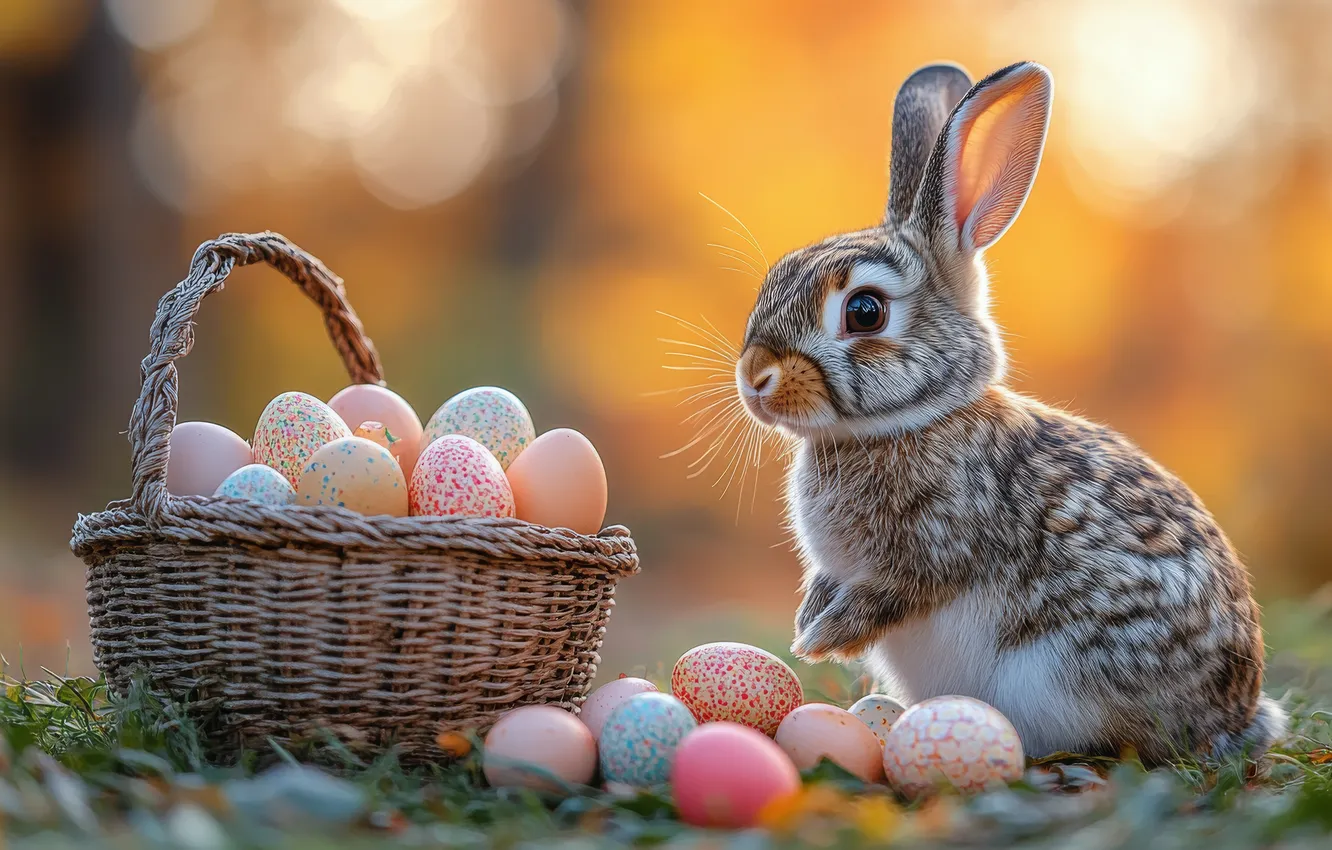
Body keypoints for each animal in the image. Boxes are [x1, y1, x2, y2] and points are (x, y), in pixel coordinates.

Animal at [733, 60, 1285, 764]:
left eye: (864, 311)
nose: (754, 377)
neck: (911, 421)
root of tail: (1236, 715)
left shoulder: (936, 549)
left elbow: (897, 591)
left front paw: (821, 641)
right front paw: (808, 625)